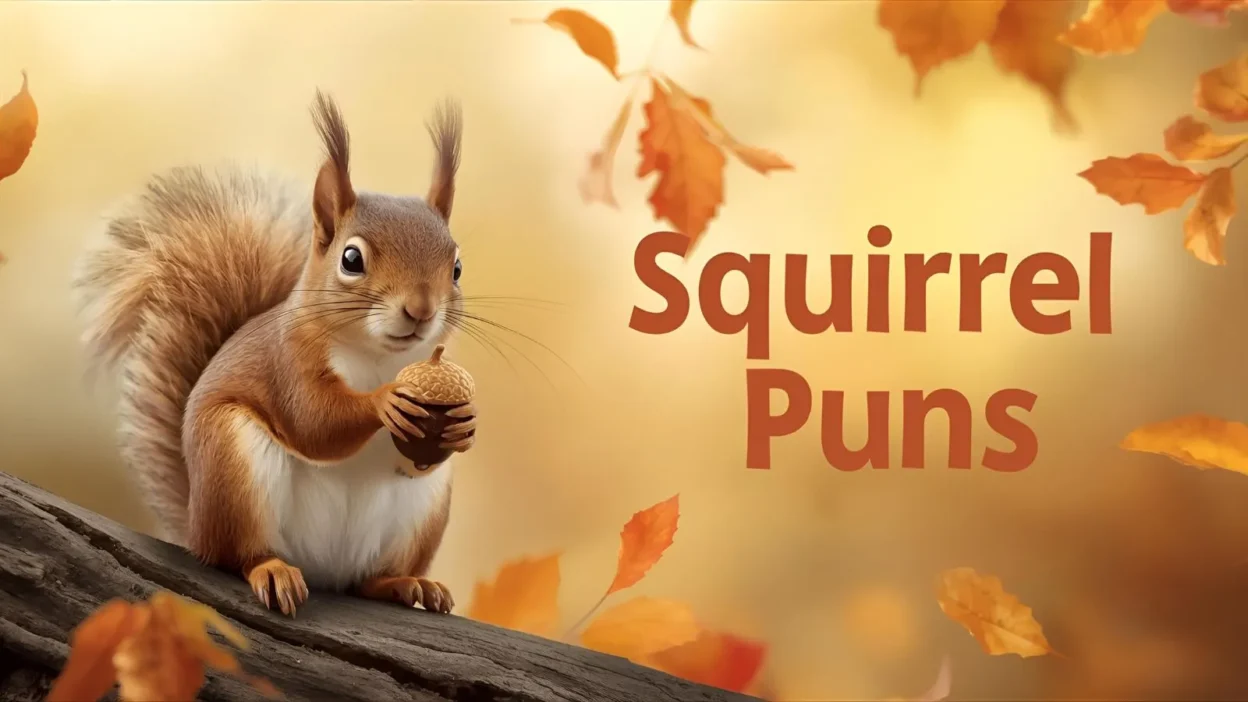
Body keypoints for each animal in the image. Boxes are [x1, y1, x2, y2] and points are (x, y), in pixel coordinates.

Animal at [71, 92, 476, 617]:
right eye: (351, 259)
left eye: (457, 267)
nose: (421, 311)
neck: (378, 357)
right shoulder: (288, 362)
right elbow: (313, 421)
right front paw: (384, 401)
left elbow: (415, 459)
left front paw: (464, 422)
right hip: (234, 466)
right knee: (238, 555)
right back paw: (272, 570)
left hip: (423, 511)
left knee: (369, 580)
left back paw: (406, 583)